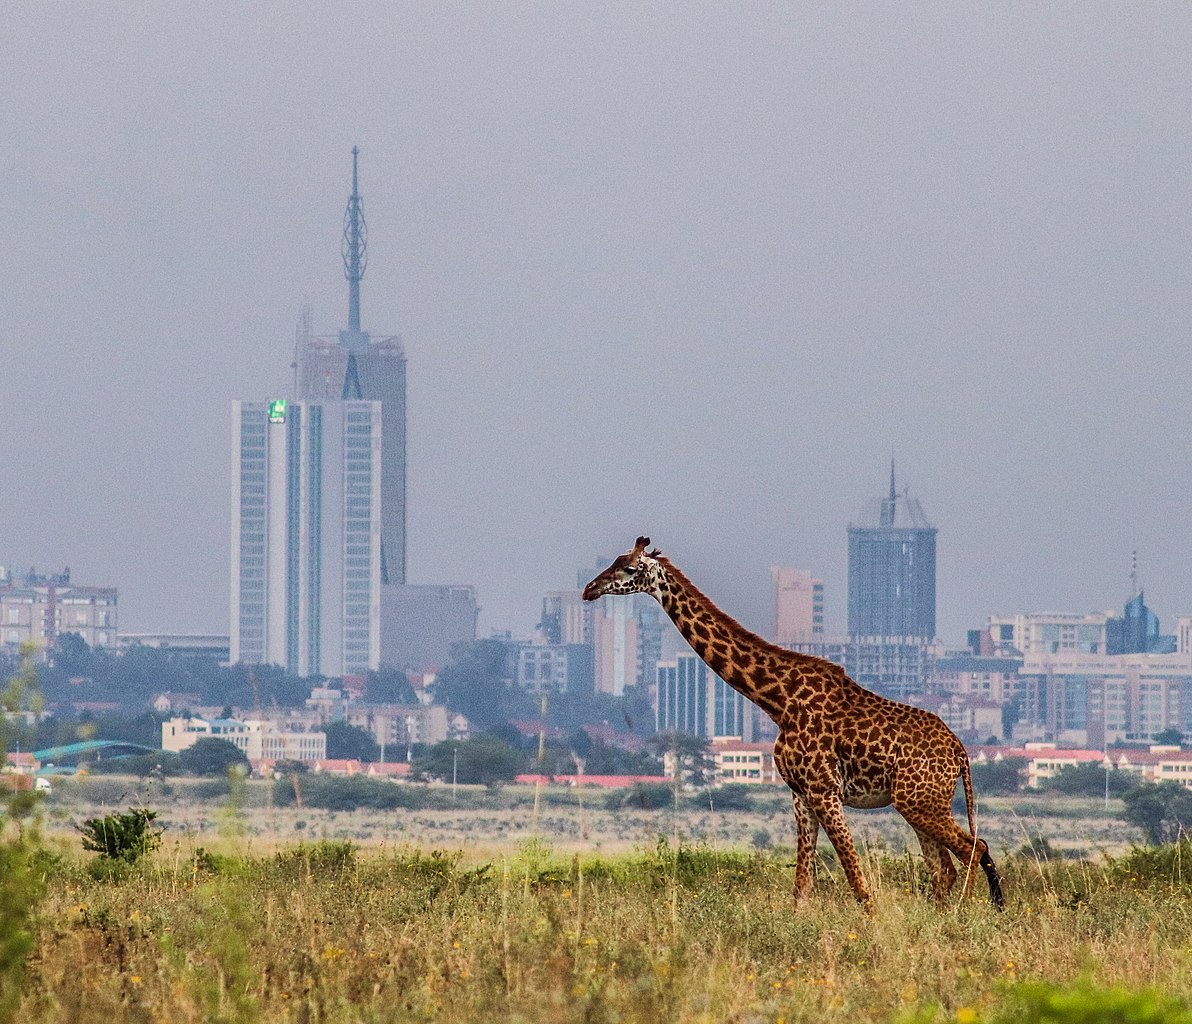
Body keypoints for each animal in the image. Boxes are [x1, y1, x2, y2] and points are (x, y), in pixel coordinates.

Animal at [581, 536, 1001, 910]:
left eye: (629, 568)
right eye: (614, 560)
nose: (589, 589)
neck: (777, 701)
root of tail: (960, 752)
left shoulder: (824, 789)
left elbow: (856, 878)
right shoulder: (800, 794)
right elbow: (801, 887)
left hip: (921, 801)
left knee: (972, 849)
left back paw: (967, 914)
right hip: (918, 803)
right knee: (945, 867)